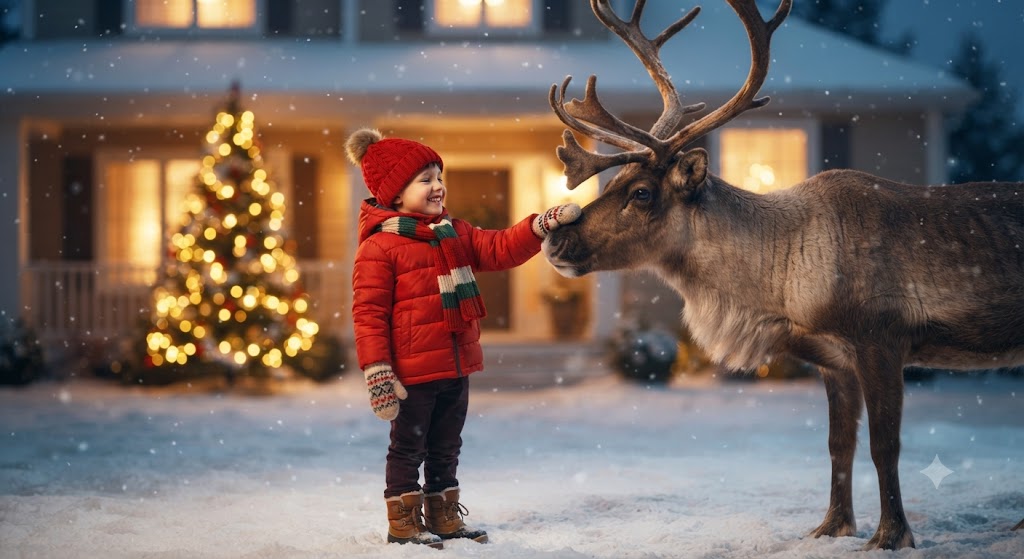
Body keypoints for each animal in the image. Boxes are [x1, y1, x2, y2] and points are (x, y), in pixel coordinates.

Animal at [542, 0, 1024, 551]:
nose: (554, 241)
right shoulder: (834, 360)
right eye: (614, 181)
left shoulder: (883, 340)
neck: (781, 289)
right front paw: (831, 528)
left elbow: (884, 445)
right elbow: (839, 444)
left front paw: (890, 536)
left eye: (641, 192)